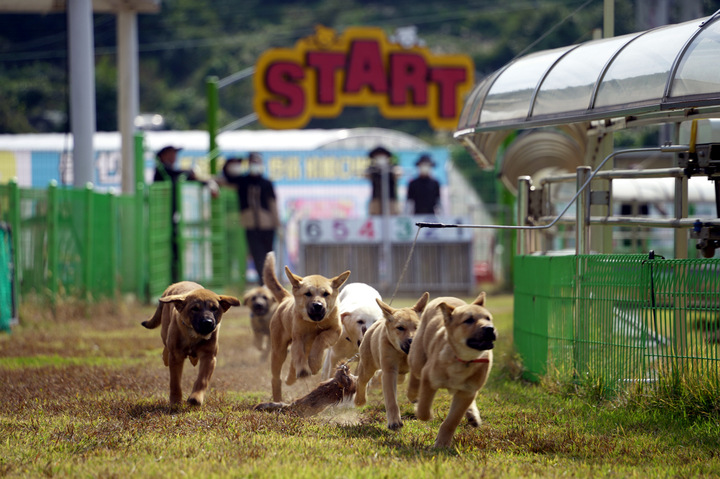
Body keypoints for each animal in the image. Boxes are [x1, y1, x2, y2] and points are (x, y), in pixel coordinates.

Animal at [262, 253, 352, 404]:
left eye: (326, 293)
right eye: (308, 293)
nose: (318, 306)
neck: (314, 324)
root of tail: (286, 298)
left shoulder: (335, 331)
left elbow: (321, 338)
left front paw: (314, 364)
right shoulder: (299, 338)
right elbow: (299, 355)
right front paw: (306, 369)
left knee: (293, 363)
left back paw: (292, 377)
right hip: (279, 351)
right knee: (277, 377)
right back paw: (279, 397)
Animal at [352, 292, 428, 432]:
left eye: (417, 327)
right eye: (400, 328)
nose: (412, 341)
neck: (403, 354)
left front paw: (415, 397)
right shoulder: (389, 371)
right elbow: (391, 399)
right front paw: (394, 422)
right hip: (367, 366)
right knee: (361, 380)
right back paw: (360, 400)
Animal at [408, 292, 498, 450]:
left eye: (488, 318)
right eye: (468, 320)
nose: (490, 328)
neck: (463, 360)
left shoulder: (467, 392)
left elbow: (452, 421)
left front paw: (442, 443)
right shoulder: (428, 379)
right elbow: (424, 409)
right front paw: (424, 413)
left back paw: (472, 415)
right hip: (418, 358)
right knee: (414, 373)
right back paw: (413, 393)